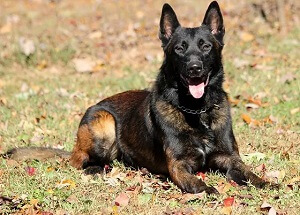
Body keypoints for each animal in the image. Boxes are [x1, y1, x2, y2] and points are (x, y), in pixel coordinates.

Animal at [6, 0, 270, 194]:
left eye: (206, 46)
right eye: (180, 48)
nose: (194, 68)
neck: (197, 111)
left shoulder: (229, 158)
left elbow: (247, 171)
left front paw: (264, 181)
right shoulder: (179, 165)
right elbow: (193, 181)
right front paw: (206, 188)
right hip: (103, 124)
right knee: (77, 161)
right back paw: (95, 168)